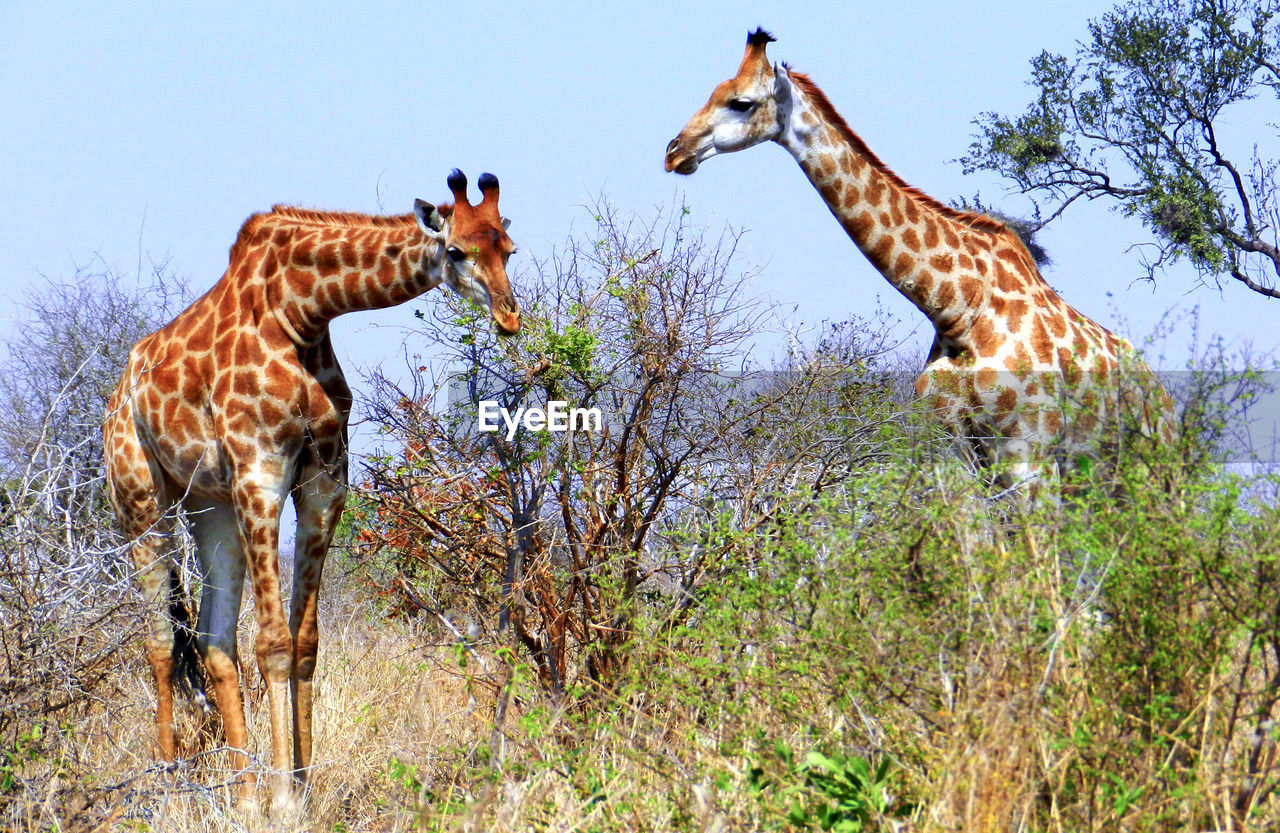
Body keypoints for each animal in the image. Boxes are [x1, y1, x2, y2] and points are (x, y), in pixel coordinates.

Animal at [101, 168, 519, 813]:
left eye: (508, 248)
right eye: (456, 251)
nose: (509, 317)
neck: (301, 311)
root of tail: (117, 396)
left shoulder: (324, 485)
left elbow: (305, 643)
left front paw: (299, 787)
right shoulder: (261, 476)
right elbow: (273, 643)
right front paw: (283, 799)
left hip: (211, 507)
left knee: (214, 640)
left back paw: (243, 795)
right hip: (141, 504)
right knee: (161, 643)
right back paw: (171, 789)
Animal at [665, 31, 1172, 488]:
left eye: (741, 102)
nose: (674, 152)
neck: (958, 309)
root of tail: (1162, 398)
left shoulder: (1029, 455)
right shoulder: (954, 454)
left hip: (1144, 473)